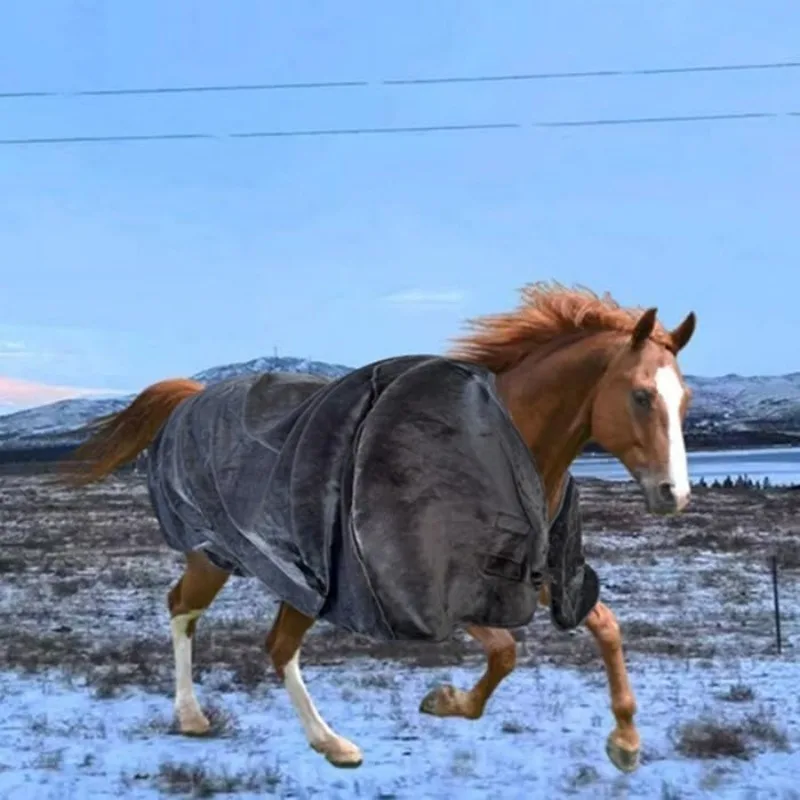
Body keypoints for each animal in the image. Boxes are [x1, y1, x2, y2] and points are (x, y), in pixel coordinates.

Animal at [60, 282, 696, 774]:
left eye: (685, 399)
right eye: (641, 395)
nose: (675, 494)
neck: (495, 444)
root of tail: (194, 397)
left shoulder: (533, 572)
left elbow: (606, 628)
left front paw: (626, 742)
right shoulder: (431, 587)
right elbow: (507, 650)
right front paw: (446, 701)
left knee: (269, 641)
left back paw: (324, 742)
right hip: (216, 553)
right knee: (190, 613)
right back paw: (212, 721)